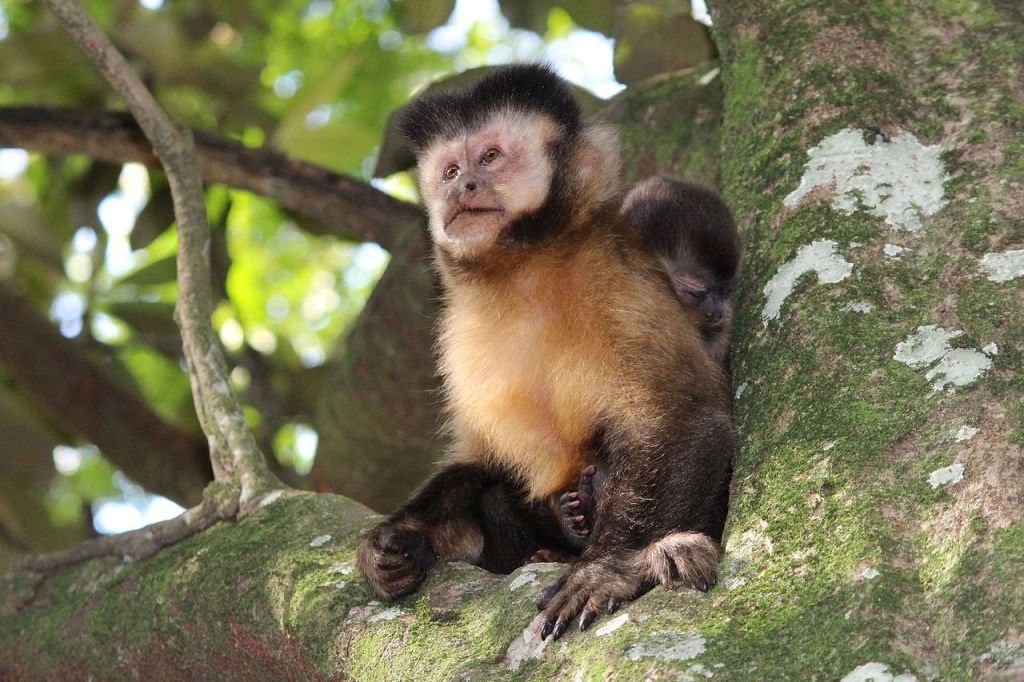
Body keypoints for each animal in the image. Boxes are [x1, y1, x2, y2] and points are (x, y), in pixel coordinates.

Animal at [360, 62, 737, 638]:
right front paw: (394, 544)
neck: (522, 273)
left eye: (490, 157)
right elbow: (481, 461)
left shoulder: (617, 279)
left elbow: (689, 422)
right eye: (450, 170)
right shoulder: (457, 331)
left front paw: (603, 569)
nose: (463, 186)